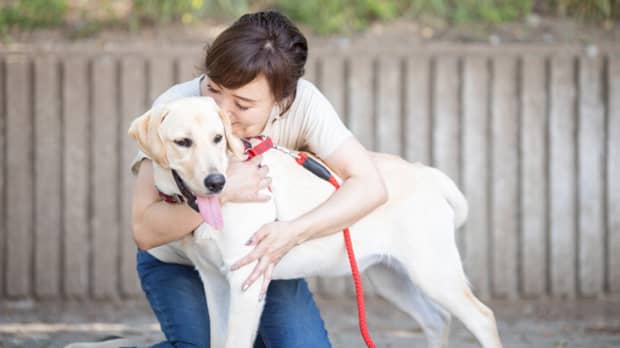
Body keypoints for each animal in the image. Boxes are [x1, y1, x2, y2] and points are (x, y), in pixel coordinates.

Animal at [128, 96, 502, 348]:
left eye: (218, 138)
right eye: (182, 142)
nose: (216, 182)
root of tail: (428, 174)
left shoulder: (246, 284)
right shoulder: (215, 283)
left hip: (434, 273)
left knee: (483, 317)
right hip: (391, 278)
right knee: (437, 319)